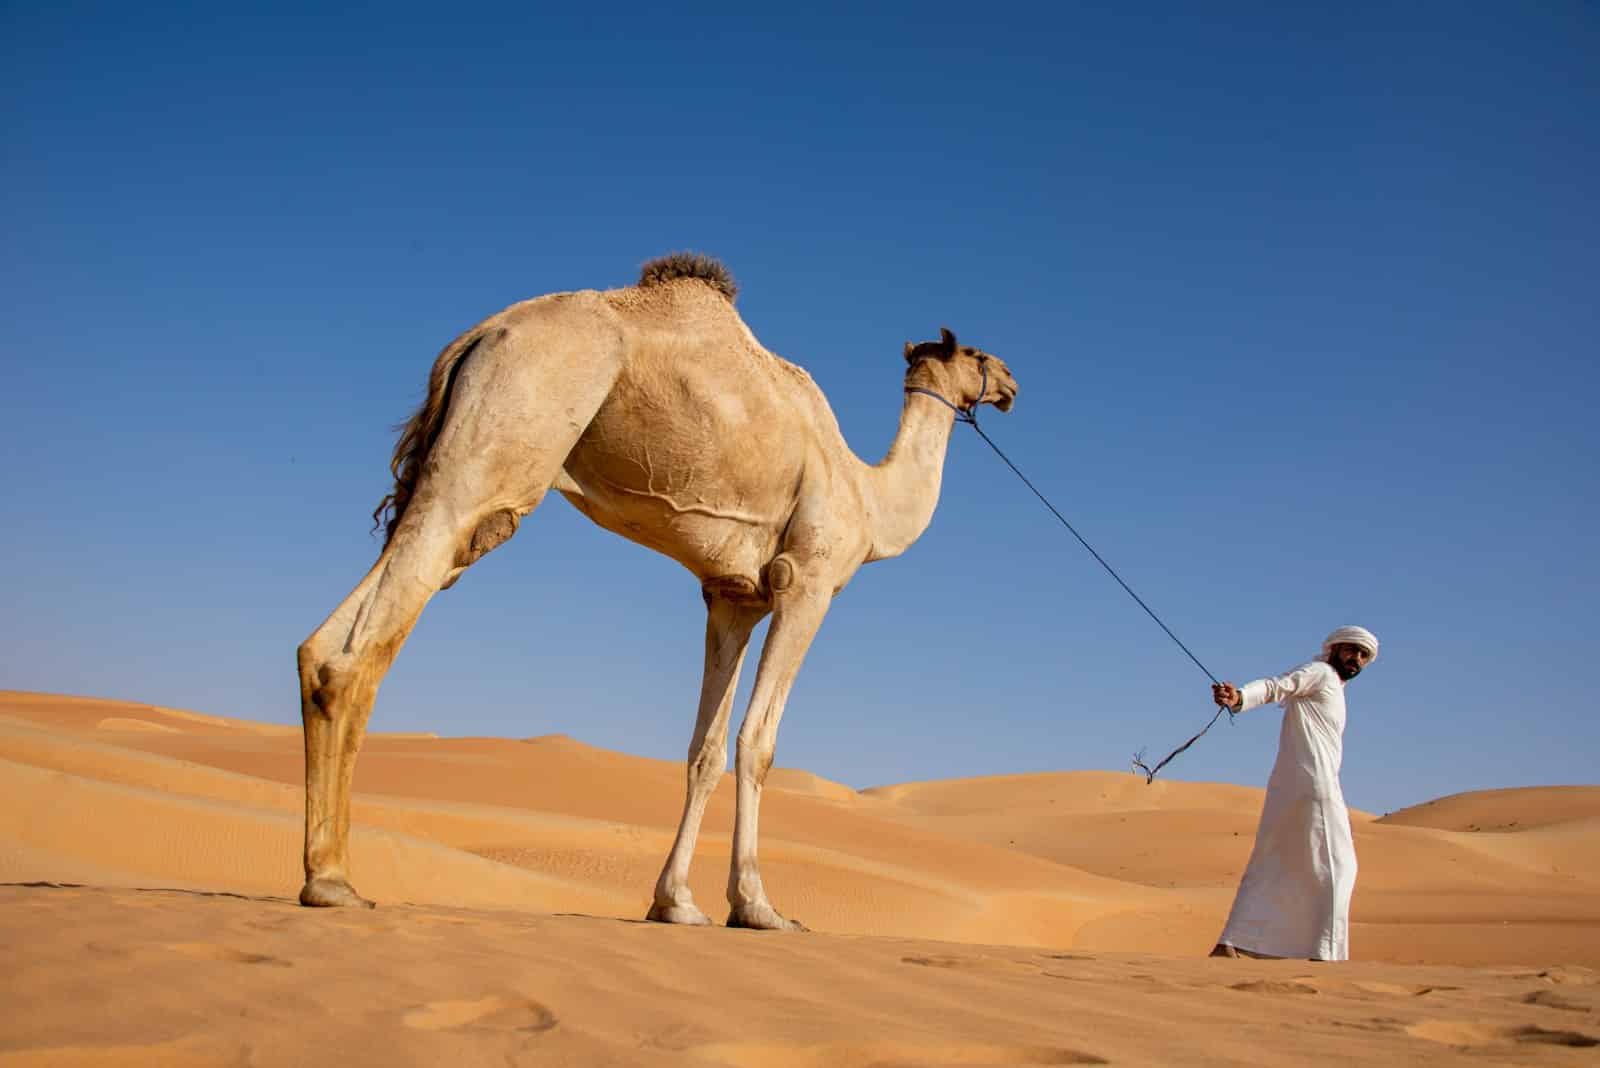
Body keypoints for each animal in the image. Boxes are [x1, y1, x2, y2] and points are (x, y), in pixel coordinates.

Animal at [296, 253, 1018, 930]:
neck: (870, 498)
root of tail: (480, 334)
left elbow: (705, 750)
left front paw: (675, 902)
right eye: (979, 355)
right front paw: (759, 907)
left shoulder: (733, 597)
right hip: (505, 439)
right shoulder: (807, 581)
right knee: (368, 637)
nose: (1012, 383)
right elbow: (758, 743)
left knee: (331, 637)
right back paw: (332, 880)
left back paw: (324, 872)